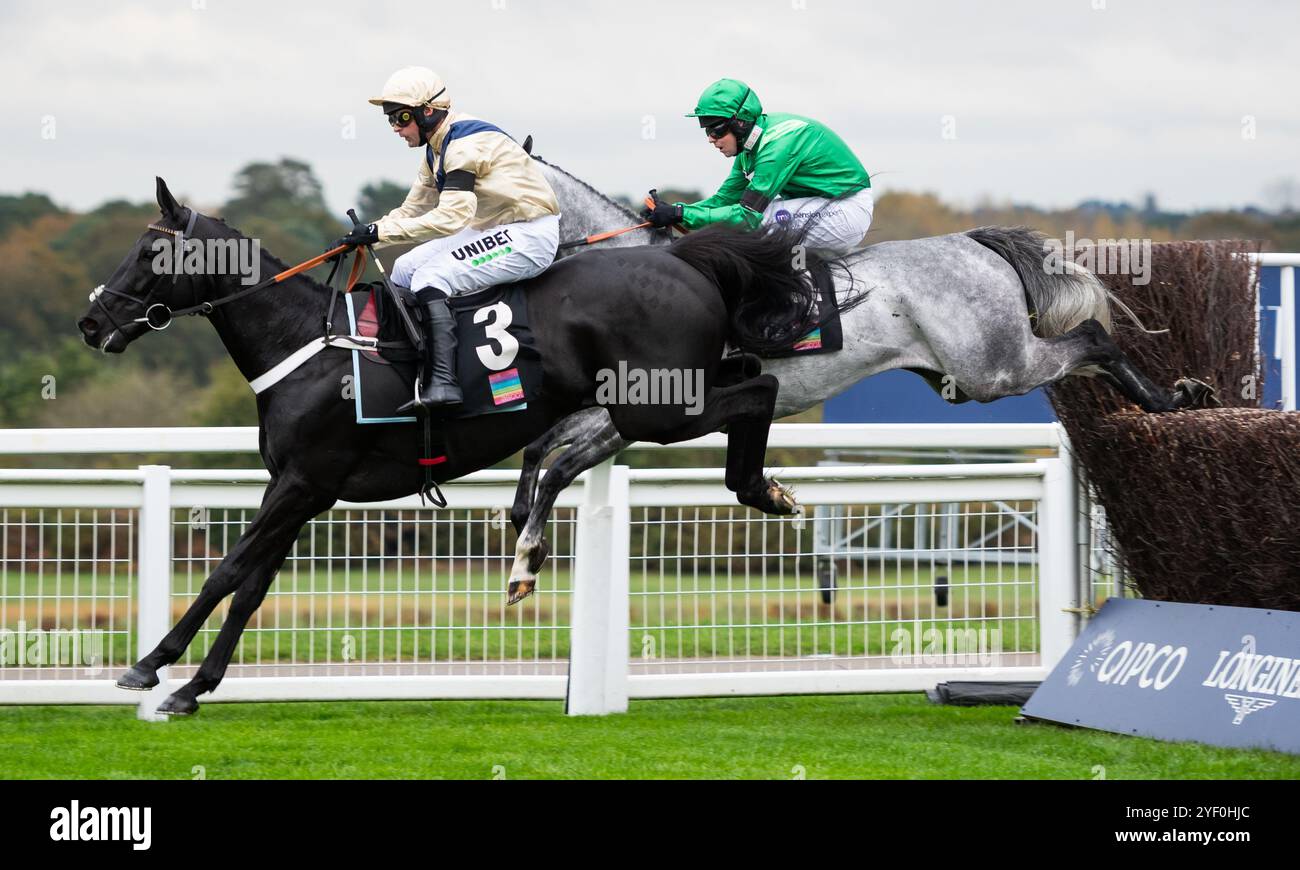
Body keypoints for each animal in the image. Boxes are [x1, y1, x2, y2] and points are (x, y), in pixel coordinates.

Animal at [78, 176, 832, 712]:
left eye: (151, 252)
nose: (92, 322)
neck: (308, 344)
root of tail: (687, 260)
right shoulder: (302, 490)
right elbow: (253, 586)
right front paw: (192, 687)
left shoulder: (302, 482)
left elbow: (228, 571)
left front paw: (150, 666)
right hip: (679, 389)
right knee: (752, 375)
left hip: (655, 407)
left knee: (761, 389)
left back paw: (760, 488)